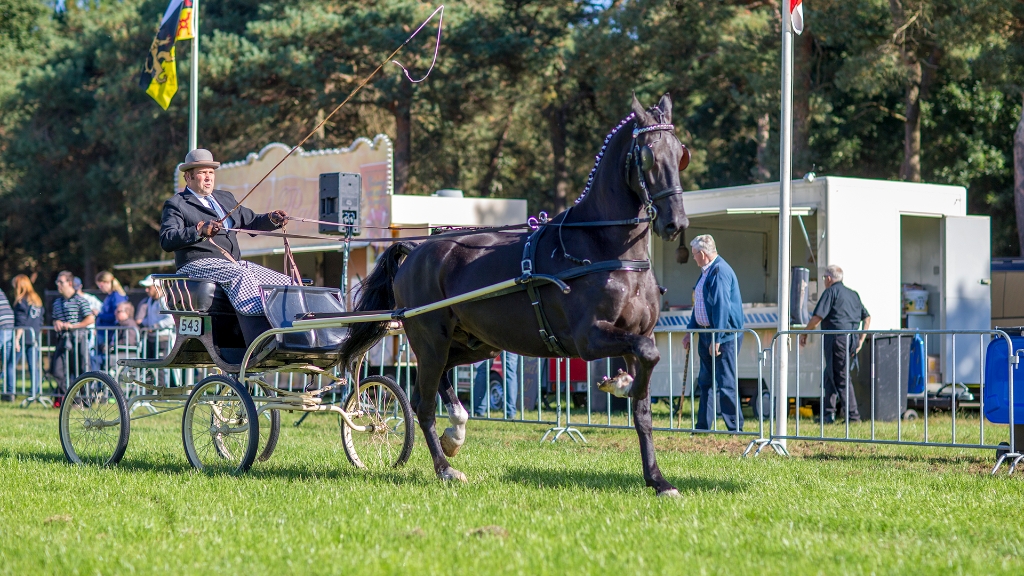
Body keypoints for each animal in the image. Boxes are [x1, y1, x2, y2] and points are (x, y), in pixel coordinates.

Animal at [342, 94, 688, 494]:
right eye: (647, 156)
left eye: (680, 153)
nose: (675, 222)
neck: (605, 248)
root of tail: (415, 250)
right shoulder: (589, 339)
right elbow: (647, 355)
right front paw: (622, 386)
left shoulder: (636, 334)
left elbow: (644, 406)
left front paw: (657, 479)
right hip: (429, 339)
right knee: (423, 404)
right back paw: (445, 467)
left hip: (476, 343)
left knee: (441, 382)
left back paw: (455, 431)